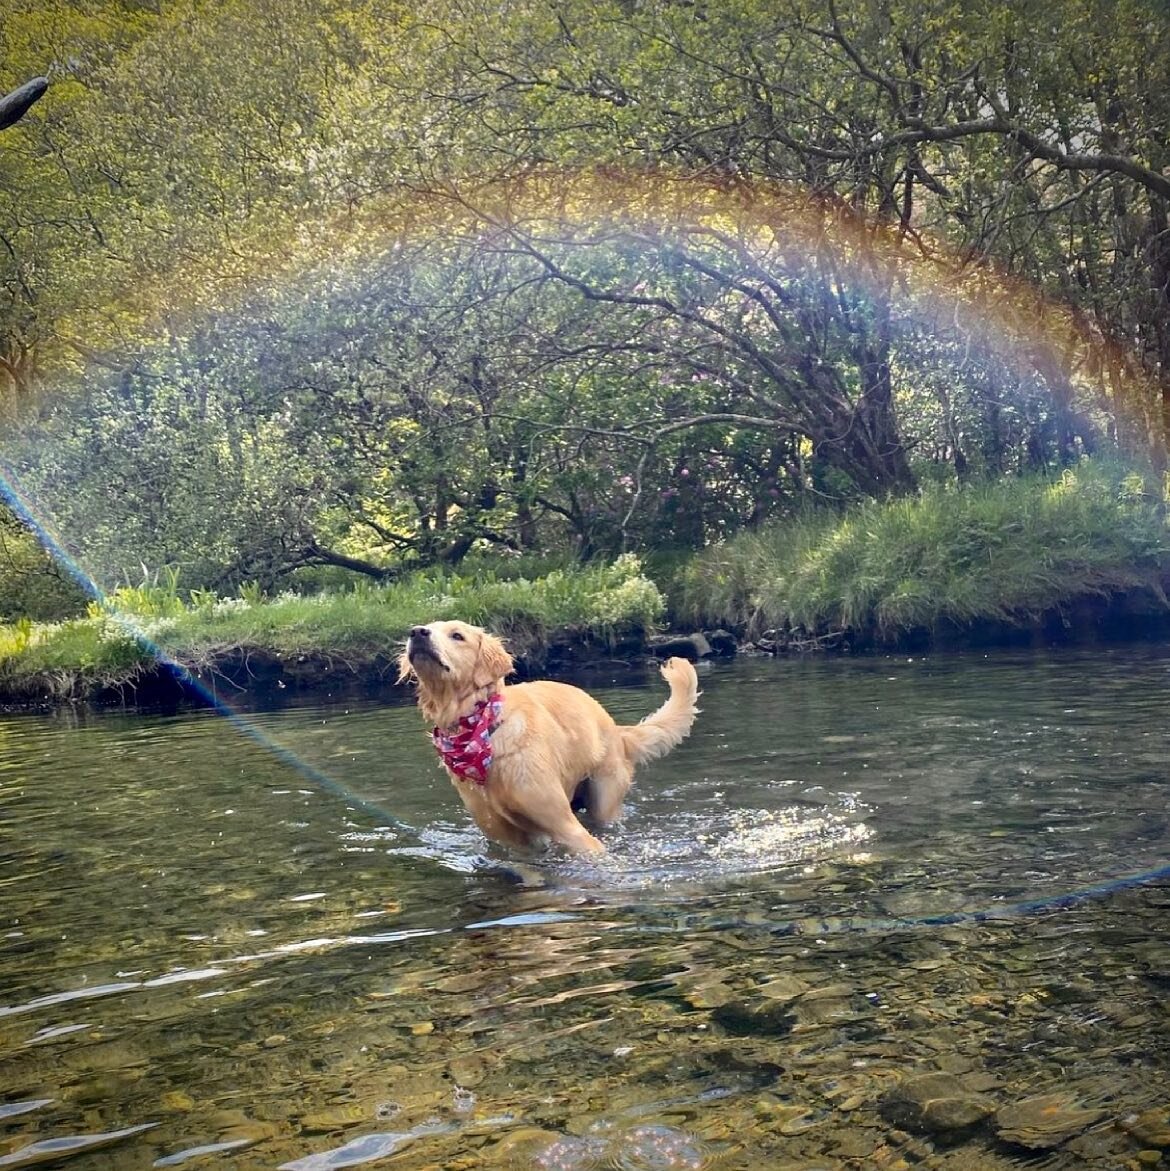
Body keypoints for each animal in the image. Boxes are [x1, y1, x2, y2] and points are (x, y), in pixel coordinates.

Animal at [398, 618, 698, 857]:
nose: (417, 632)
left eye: (457, 635)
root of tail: (617, 729)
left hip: (604, 798)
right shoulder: (506, 838)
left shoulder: (565, 826)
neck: (483, 729)